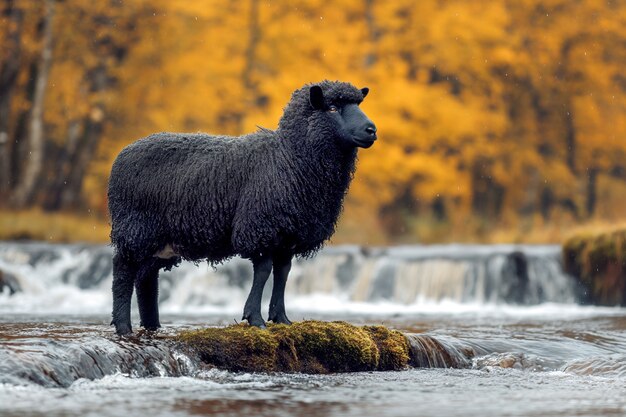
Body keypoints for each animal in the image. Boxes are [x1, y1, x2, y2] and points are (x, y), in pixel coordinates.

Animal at [107, 79, 376, 334]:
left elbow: (283, 273)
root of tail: (124, 153)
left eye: (358, 105)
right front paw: (255, 319)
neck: (289, 157)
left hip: (161, 240)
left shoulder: (287, 235)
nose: (371, 130)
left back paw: (152, 325)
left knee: (146, 277)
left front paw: (281, 319)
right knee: (123, 271)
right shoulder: (260, 227)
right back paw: (123, 326)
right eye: (332, 108)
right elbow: (264, 271)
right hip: (136, 228)